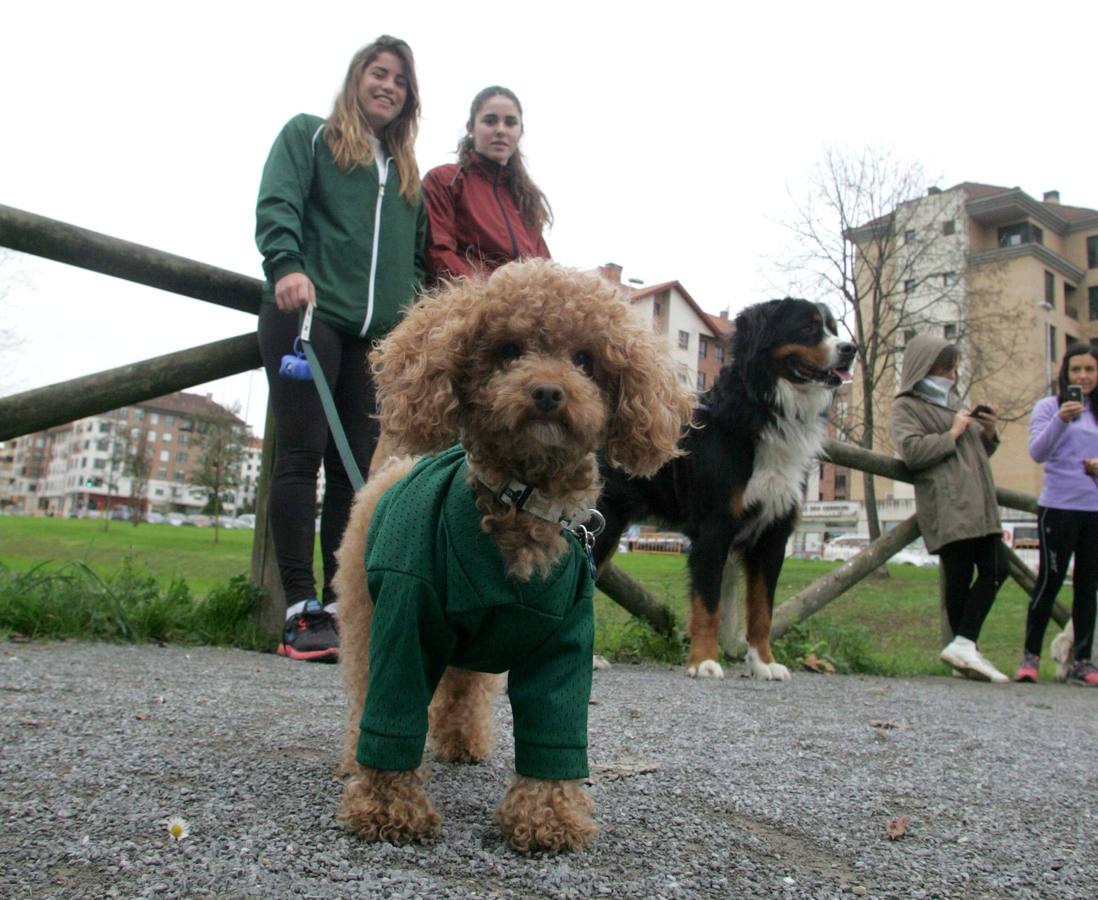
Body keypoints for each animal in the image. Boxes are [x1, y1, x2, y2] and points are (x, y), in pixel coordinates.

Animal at [597, 298, 852, 680]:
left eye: (833, 329)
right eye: (808, 328)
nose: (851, 349)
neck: (765, 411)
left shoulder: (772, 535)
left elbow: (762, 610)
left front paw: (764, 663)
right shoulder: (714, 527)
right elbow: (709, 604)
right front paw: (703, 661)